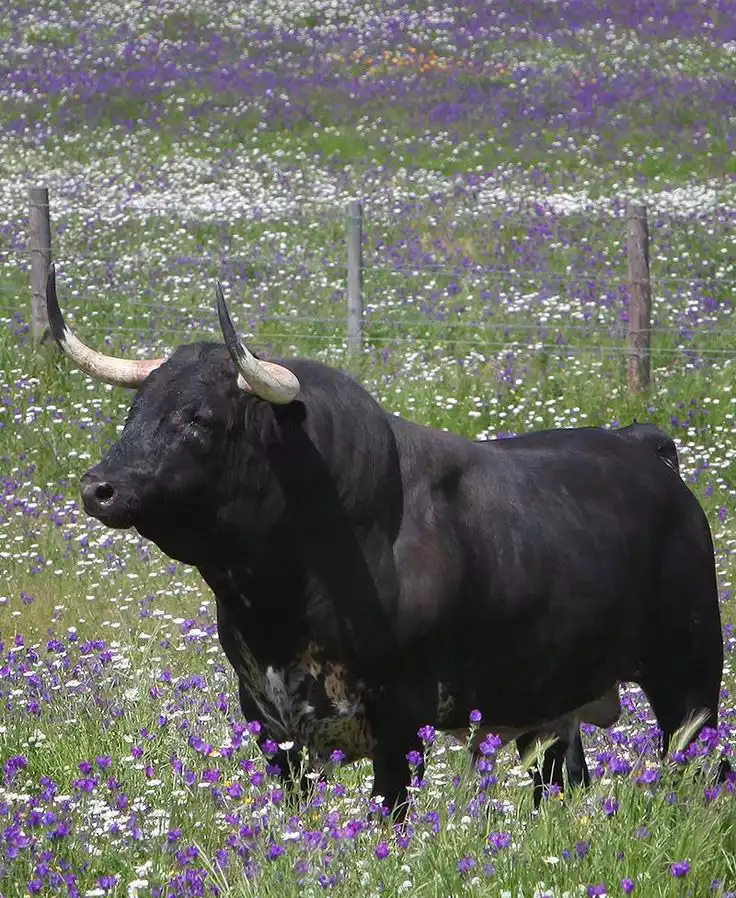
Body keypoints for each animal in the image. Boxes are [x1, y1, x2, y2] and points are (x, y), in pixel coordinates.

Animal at [47, 270, 732, 816]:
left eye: (200, 418)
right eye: (135, 411)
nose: (98, 488)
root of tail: (642, 444)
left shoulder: (402, 723)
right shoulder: (269, 723)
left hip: (690, 679)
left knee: (703, 766)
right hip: (553, 703)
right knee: (562, 778)